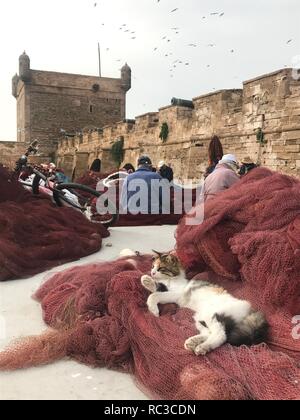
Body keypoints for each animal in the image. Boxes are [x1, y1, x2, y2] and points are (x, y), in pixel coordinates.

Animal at [141, 251, 270, 356]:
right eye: (152, 266)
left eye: (160, 268)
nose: (152, 273)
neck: (170, 280)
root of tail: (250, 309)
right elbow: (156, 288)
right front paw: (146, 280)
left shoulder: (176, 293)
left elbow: (154, 295)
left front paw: (153, 310)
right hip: (200, 317)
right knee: (209, 332)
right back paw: (192, 342)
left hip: (212, 314)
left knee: (221, 335)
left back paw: (202, 347)